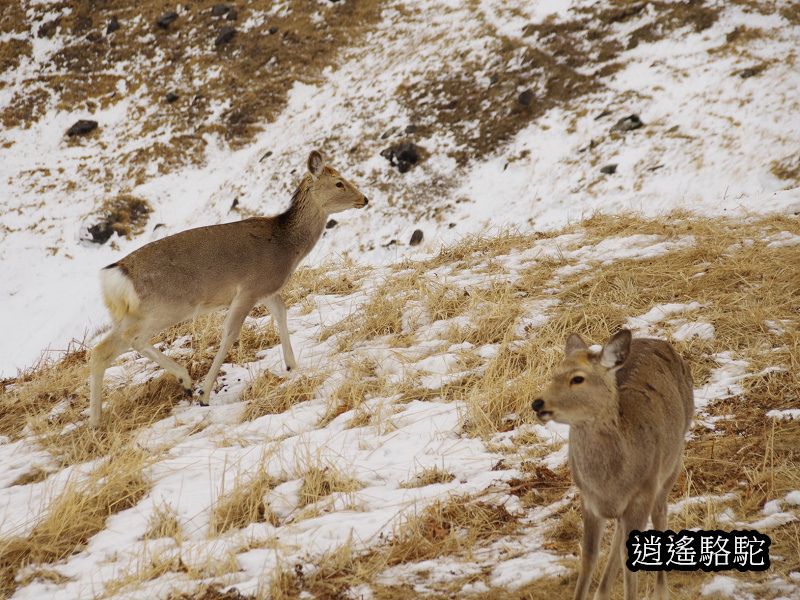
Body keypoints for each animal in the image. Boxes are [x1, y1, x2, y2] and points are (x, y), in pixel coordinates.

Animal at [90, 152, 368, 428]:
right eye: (339, 183)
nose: (364, 199)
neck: (288, 248)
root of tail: (115, 277)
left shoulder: (266, 290)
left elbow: (281, 312)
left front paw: (291, 366)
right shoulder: (248, 289)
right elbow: (231, 333)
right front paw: (205, 394)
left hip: (129, 315)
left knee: (100, 351)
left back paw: (95, 422)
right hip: (168, 306)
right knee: (134, 337)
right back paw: (185, 380)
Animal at [532, 330, 692, 596]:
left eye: (578, 379)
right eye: (555, 374)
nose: (538, 403)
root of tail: (658, 341)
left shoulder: (643, 492)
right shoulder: (588, 499)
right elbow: (588, 557)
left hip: (672, 462)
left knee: (660, 514)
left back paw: (661, 592)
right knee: (619, 533)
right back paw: (602, 592)